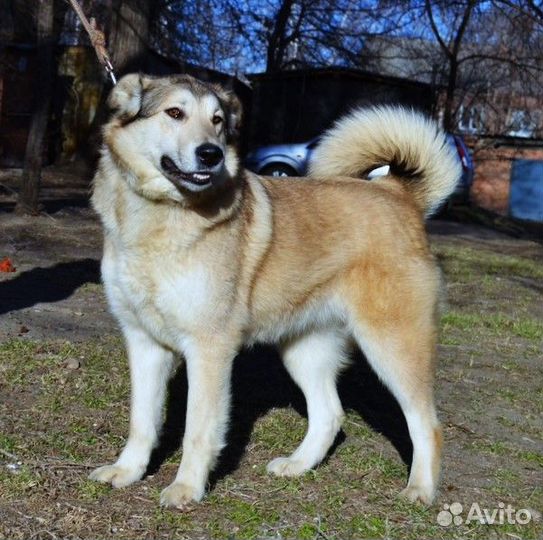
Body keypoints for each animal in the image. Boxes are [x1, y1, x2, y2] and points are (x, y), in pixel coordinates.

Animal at [88, 74, 460, 508]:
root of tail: (397, 192)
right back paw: (297, 466)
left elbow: (198, 429)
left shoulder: (209, 349)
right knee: (330, 414)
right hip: (305, 350)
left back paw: (419, 489)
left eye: (217, 120)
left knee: (426, 425)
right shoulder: (144, 343)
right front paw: (127, 471)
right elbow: (142, 422)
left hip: (393, 347)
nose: (211, 154)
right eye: (175, 113)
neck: (159, 218)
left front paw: (187, 487)